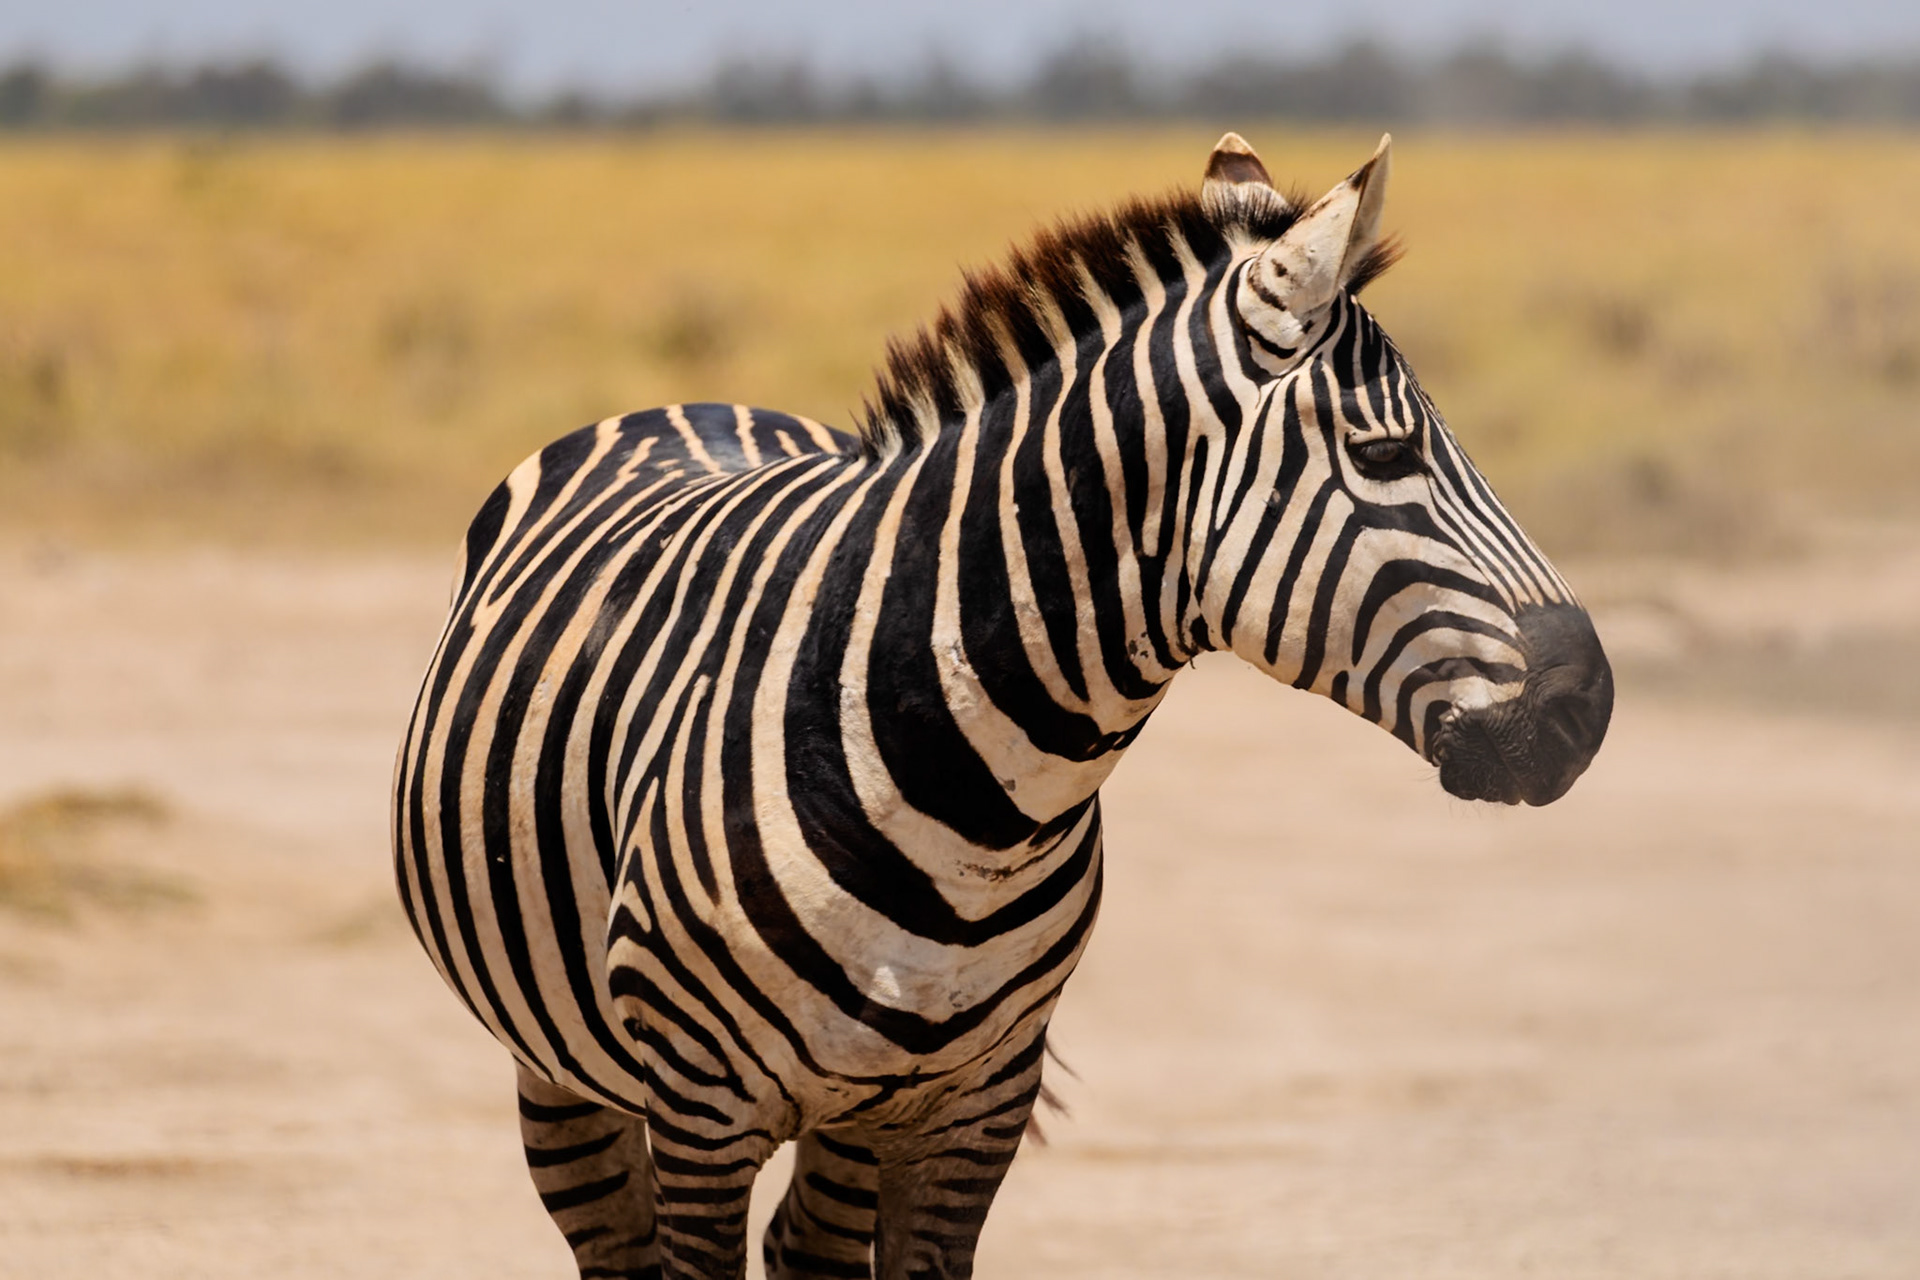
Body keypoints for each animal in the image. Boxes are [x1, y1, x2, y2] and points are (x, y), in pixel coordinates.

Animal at [393, 131, 1611, 1279]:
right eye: (1386, 450)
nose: (1588, 708)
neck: (971, 801)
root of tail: (688, 400)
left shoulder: (977, 1106)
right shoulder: (700, 1110)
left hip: (857, 1114)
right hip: (561, 1070)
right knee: (611, 1234)